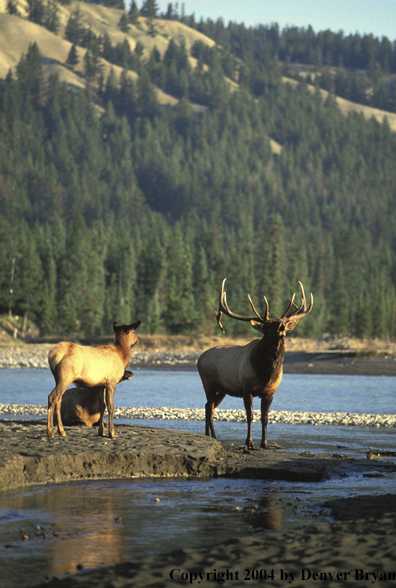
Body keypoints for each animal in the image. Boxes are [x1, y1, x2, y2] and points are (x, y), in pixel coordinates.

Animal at [198, 282, 312, 450]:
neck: (265, 373)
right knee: (210, 409)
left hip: (222, 390)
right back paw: (213, 437)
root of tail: (199, 358)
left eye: (282, 322)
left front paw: (264, 444)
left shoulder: (270, 392)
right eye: (267, 326)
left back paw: (208, 436)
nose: (281, 326)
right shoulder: (247, 389)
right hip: (209, 384)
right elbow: (250, 416)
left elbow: (265, 418)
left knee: (207, 407)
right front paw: (249, 443)